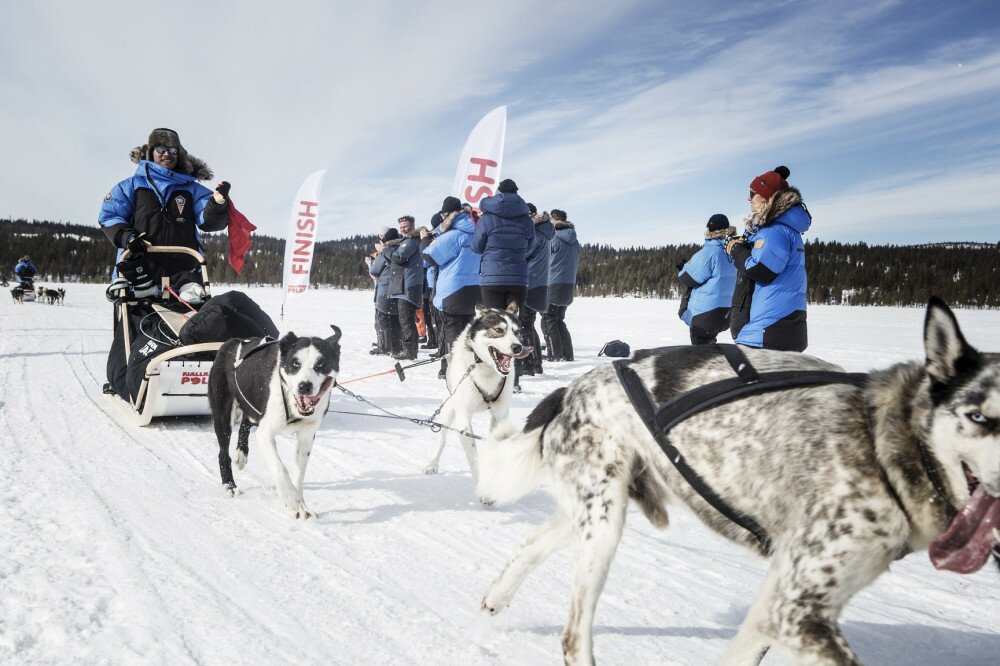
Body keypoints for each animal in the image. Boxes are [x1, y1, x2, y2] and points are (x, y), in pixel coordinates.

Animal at [209, 326, 342, 520]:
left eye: (321, 364)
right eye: (295, 363)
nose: (305, 386)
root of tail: (232, 342)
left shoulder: (306, 436)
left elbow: (298, 474)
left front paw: (301, 505)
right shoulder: (265, 433)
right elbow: (280, 468)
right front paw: (290, 498)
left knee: (246, 423)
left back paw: (241, 454)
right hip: (223, 416)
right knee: (222, 453)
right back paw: (229, 485)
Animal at [422, 300, 532, 498]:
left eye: (517, 332)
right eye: (498, 330)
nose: (518, 347)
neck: (485, 369)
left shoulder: (500, 415)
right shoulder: (464, 419)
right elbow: (473, 457)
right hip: (449, 410)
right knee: (441, 439)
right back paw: (432, 464)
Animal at [478, 296, 1000, 664]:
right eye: (978, 415)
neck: (882, 436)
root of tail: (572, 388)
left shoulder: (781, 600)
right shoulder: (796, 610)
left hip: (598, 511)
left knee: (532, 543)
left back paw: (494, 597)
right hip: (603, 525)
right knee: (573, 635)